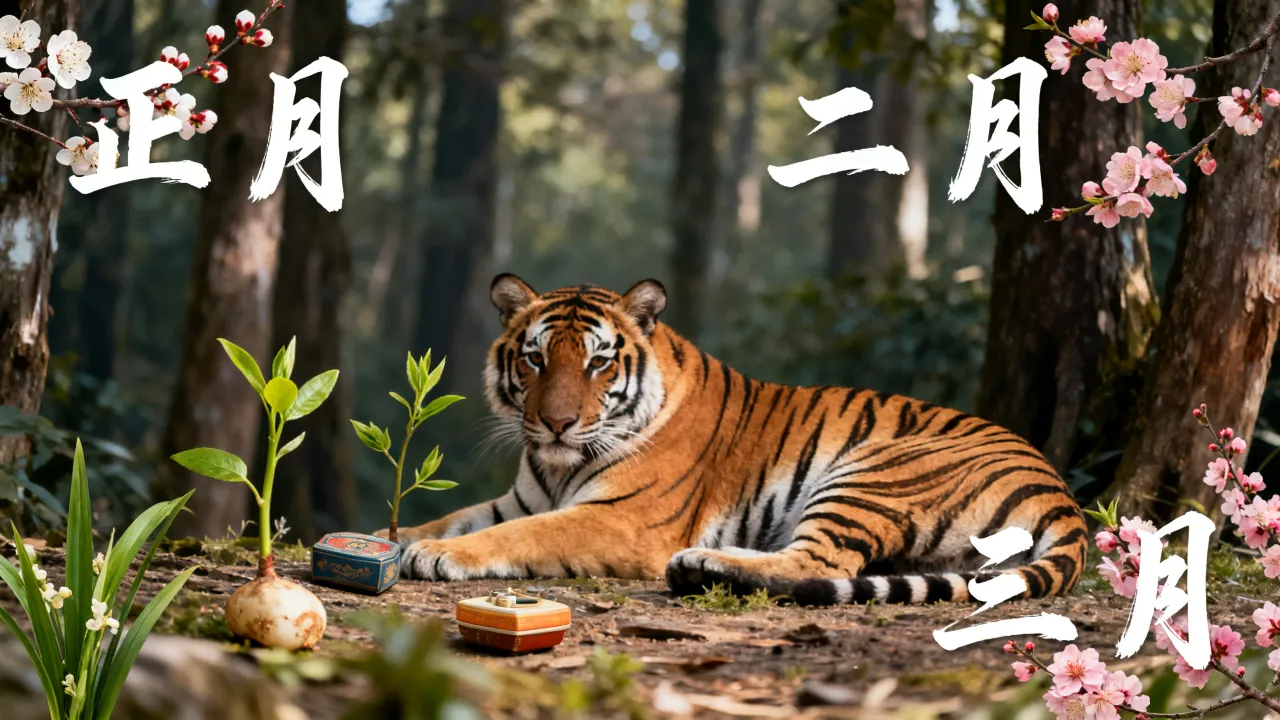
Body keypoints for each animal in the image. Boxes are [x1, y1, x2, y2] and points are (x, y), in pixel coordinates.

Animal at [383, 274, 1088, 606]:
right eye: (534, 360)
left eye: (597, 363)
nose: (556, 423)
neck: (556, 465)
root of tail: (1060, 491)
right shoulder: (518, 499)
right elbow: (450, 518)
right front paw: (392, 539)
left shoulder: (621, 519)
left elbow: (517, 536)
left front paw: (437, 557)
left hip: (872, 470)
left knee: (819, 565)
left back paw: (703, 563)